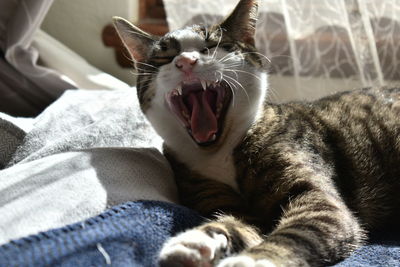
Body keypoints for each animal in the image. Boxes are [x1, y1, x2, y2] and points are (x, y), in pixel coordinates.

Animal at [111, 1, 400, 266]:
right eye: (164, 58)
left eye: (210, 46)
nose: (185, 61)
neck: (220, 153)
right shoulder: (211, 193)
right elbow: (237, 223)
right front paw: (197, 241)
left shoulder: (319, 199)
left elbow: (298, 232)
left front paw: (252, 259)